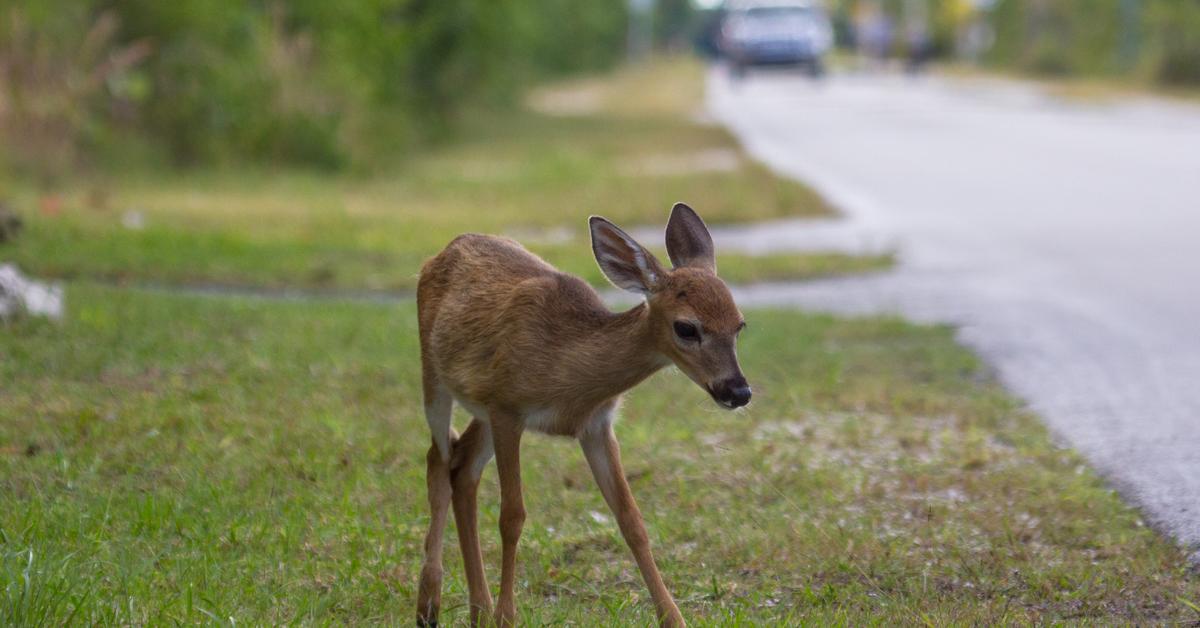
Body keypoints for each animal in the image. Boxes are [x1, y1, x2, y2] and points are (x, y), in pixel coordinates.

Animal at [412, 204, 748, 624]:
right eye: (686, 328)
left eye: (740, 324)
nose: (739, 391)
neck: (566, 369)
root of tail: (446, 249)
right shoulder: (507, 410)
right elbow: (512, 516)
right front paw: (507, 617)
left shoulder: (596, 426)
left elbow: (632, 520)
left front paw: (674, 618)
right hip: (434, 376)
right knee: (438, 461)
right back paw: (430, 605)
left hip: (480, 407)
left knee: (463, 466)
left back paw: (478, 611)